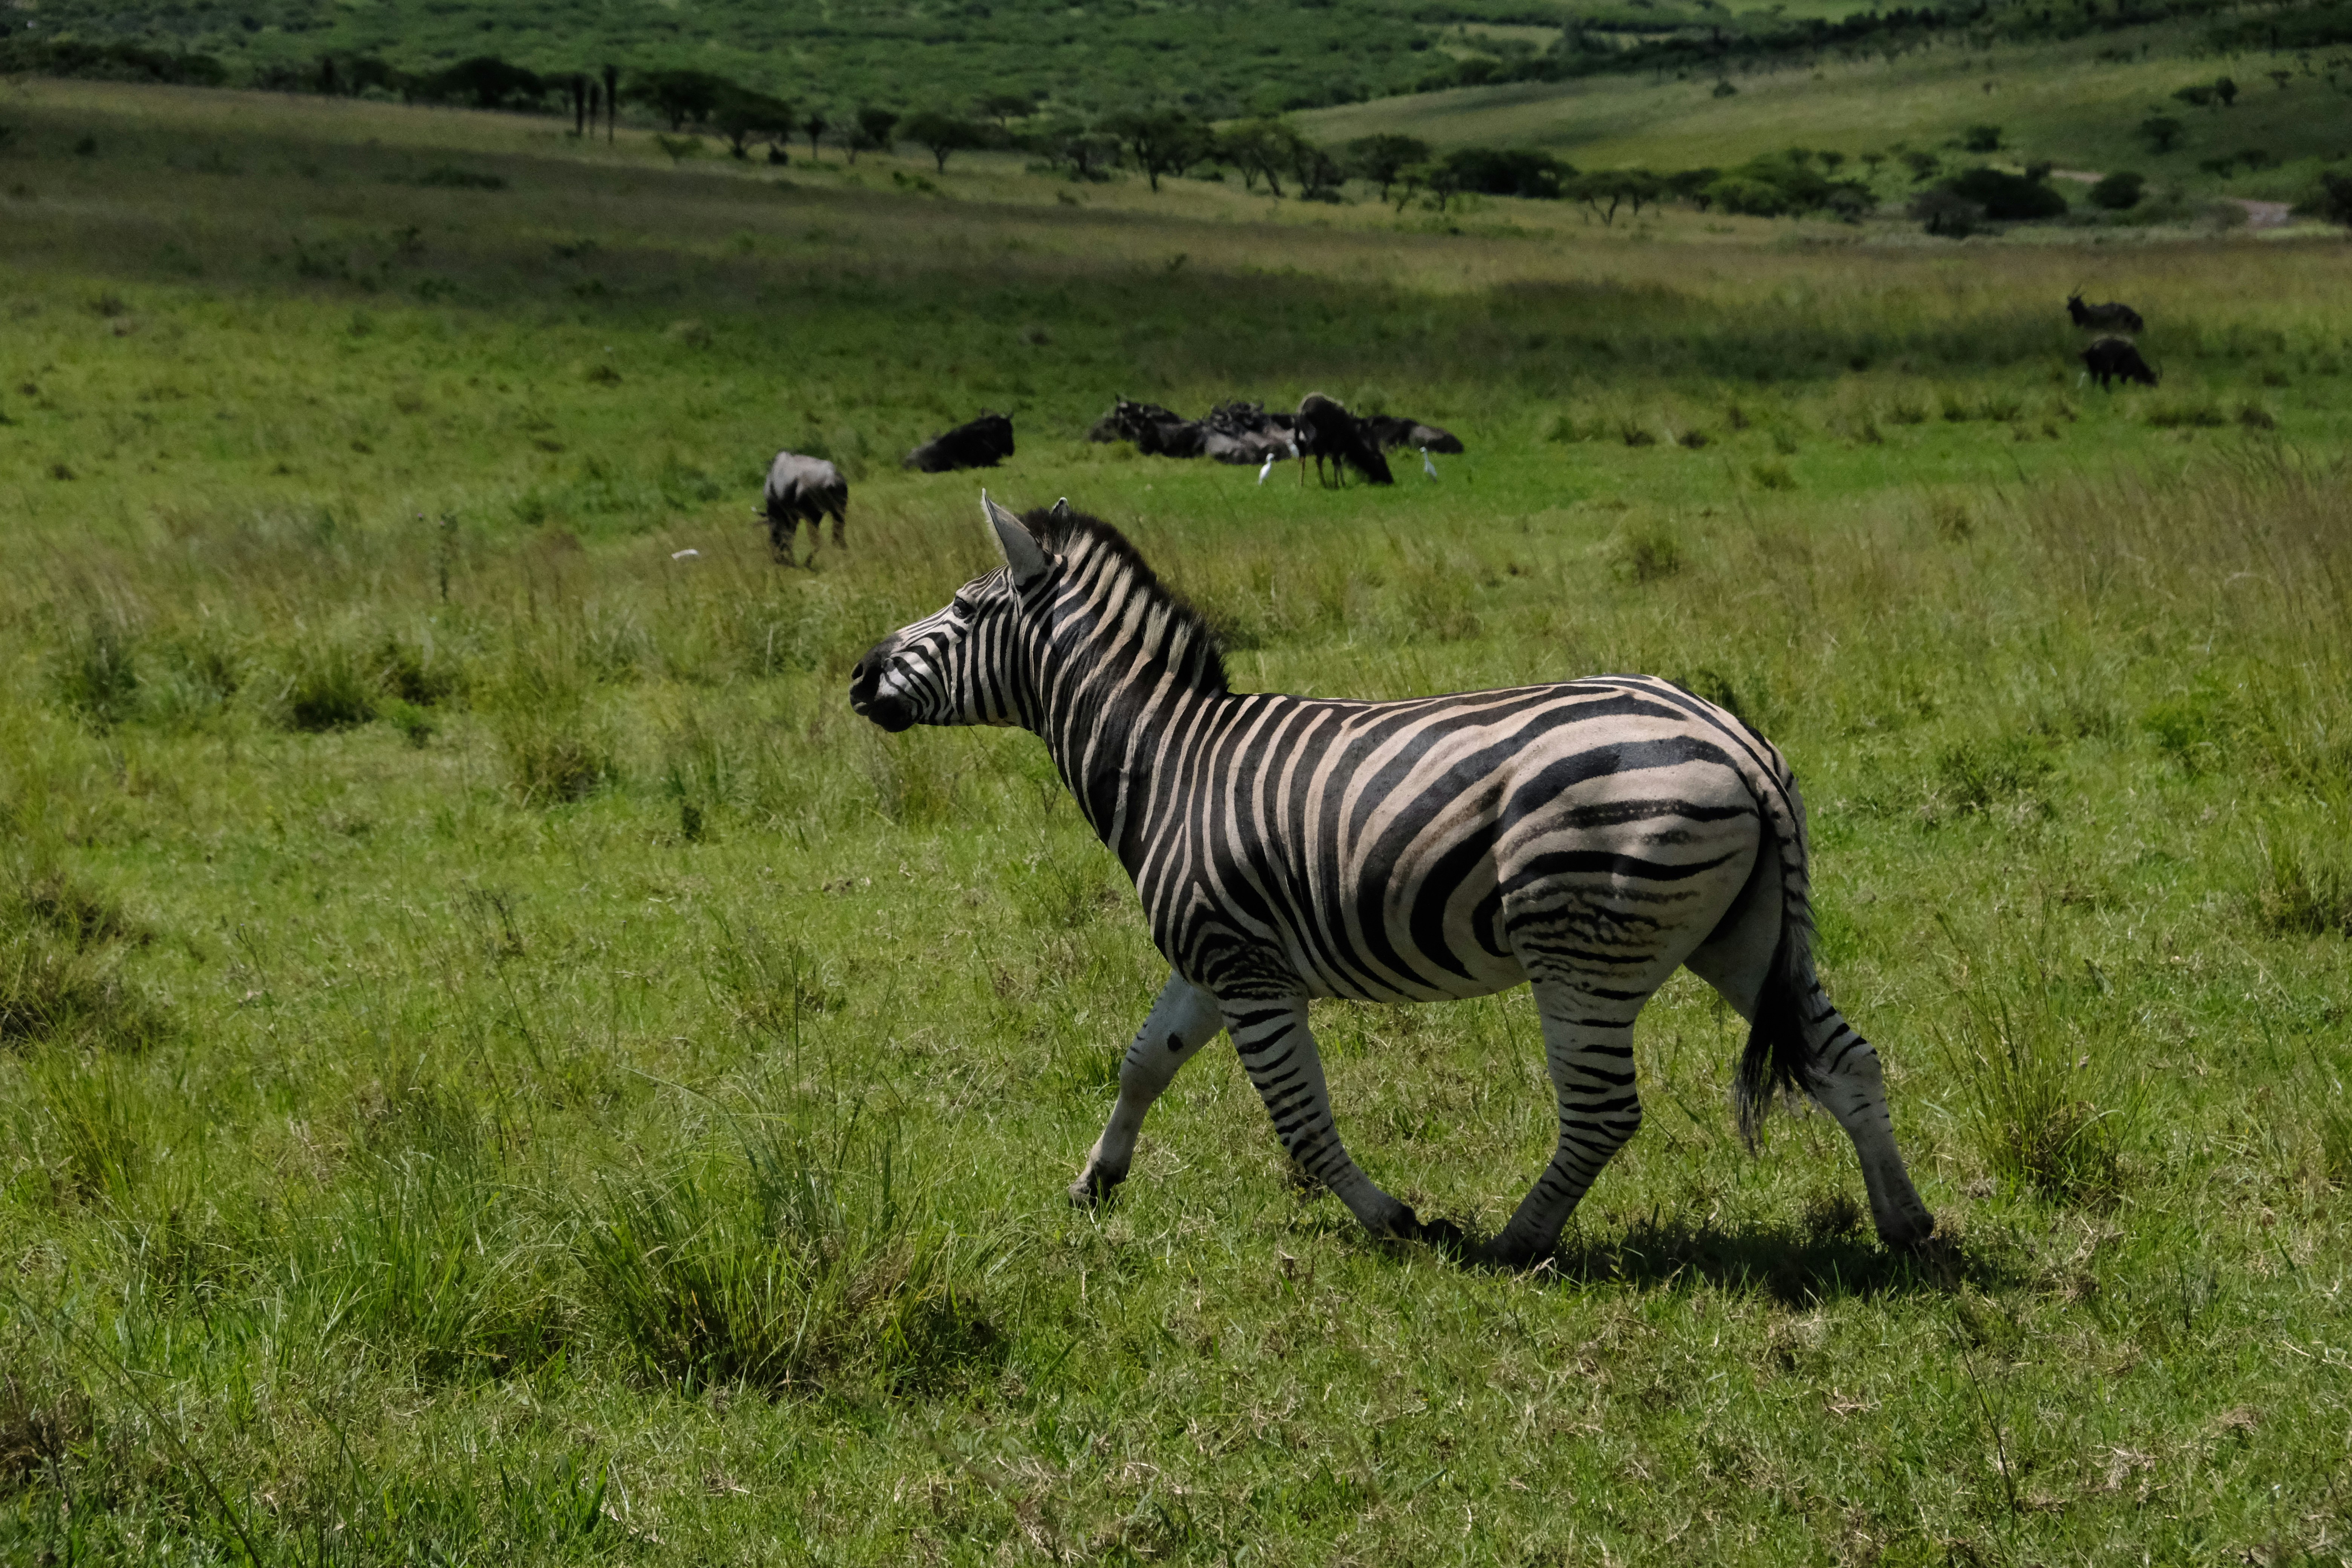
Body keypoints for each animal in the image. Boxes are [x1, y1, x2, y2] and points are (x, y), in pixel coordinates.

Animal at [848, 495, 1935, 1266]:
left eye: (963, 608)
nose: (857, 675)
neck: (1165, 758)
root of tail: (1734, 739)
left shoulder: (1249, 972)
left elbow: (1301, 1120)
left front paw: (1394, 1219)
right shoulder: (1209, 958)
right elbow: (1142, 1063)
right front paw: (1095, 1183)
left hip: (1581, 947)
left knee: (1603, 1113)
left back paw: (1516, 1242)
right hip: (1743, 937)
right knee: (1849, 1060)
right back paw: (1906, 1222)